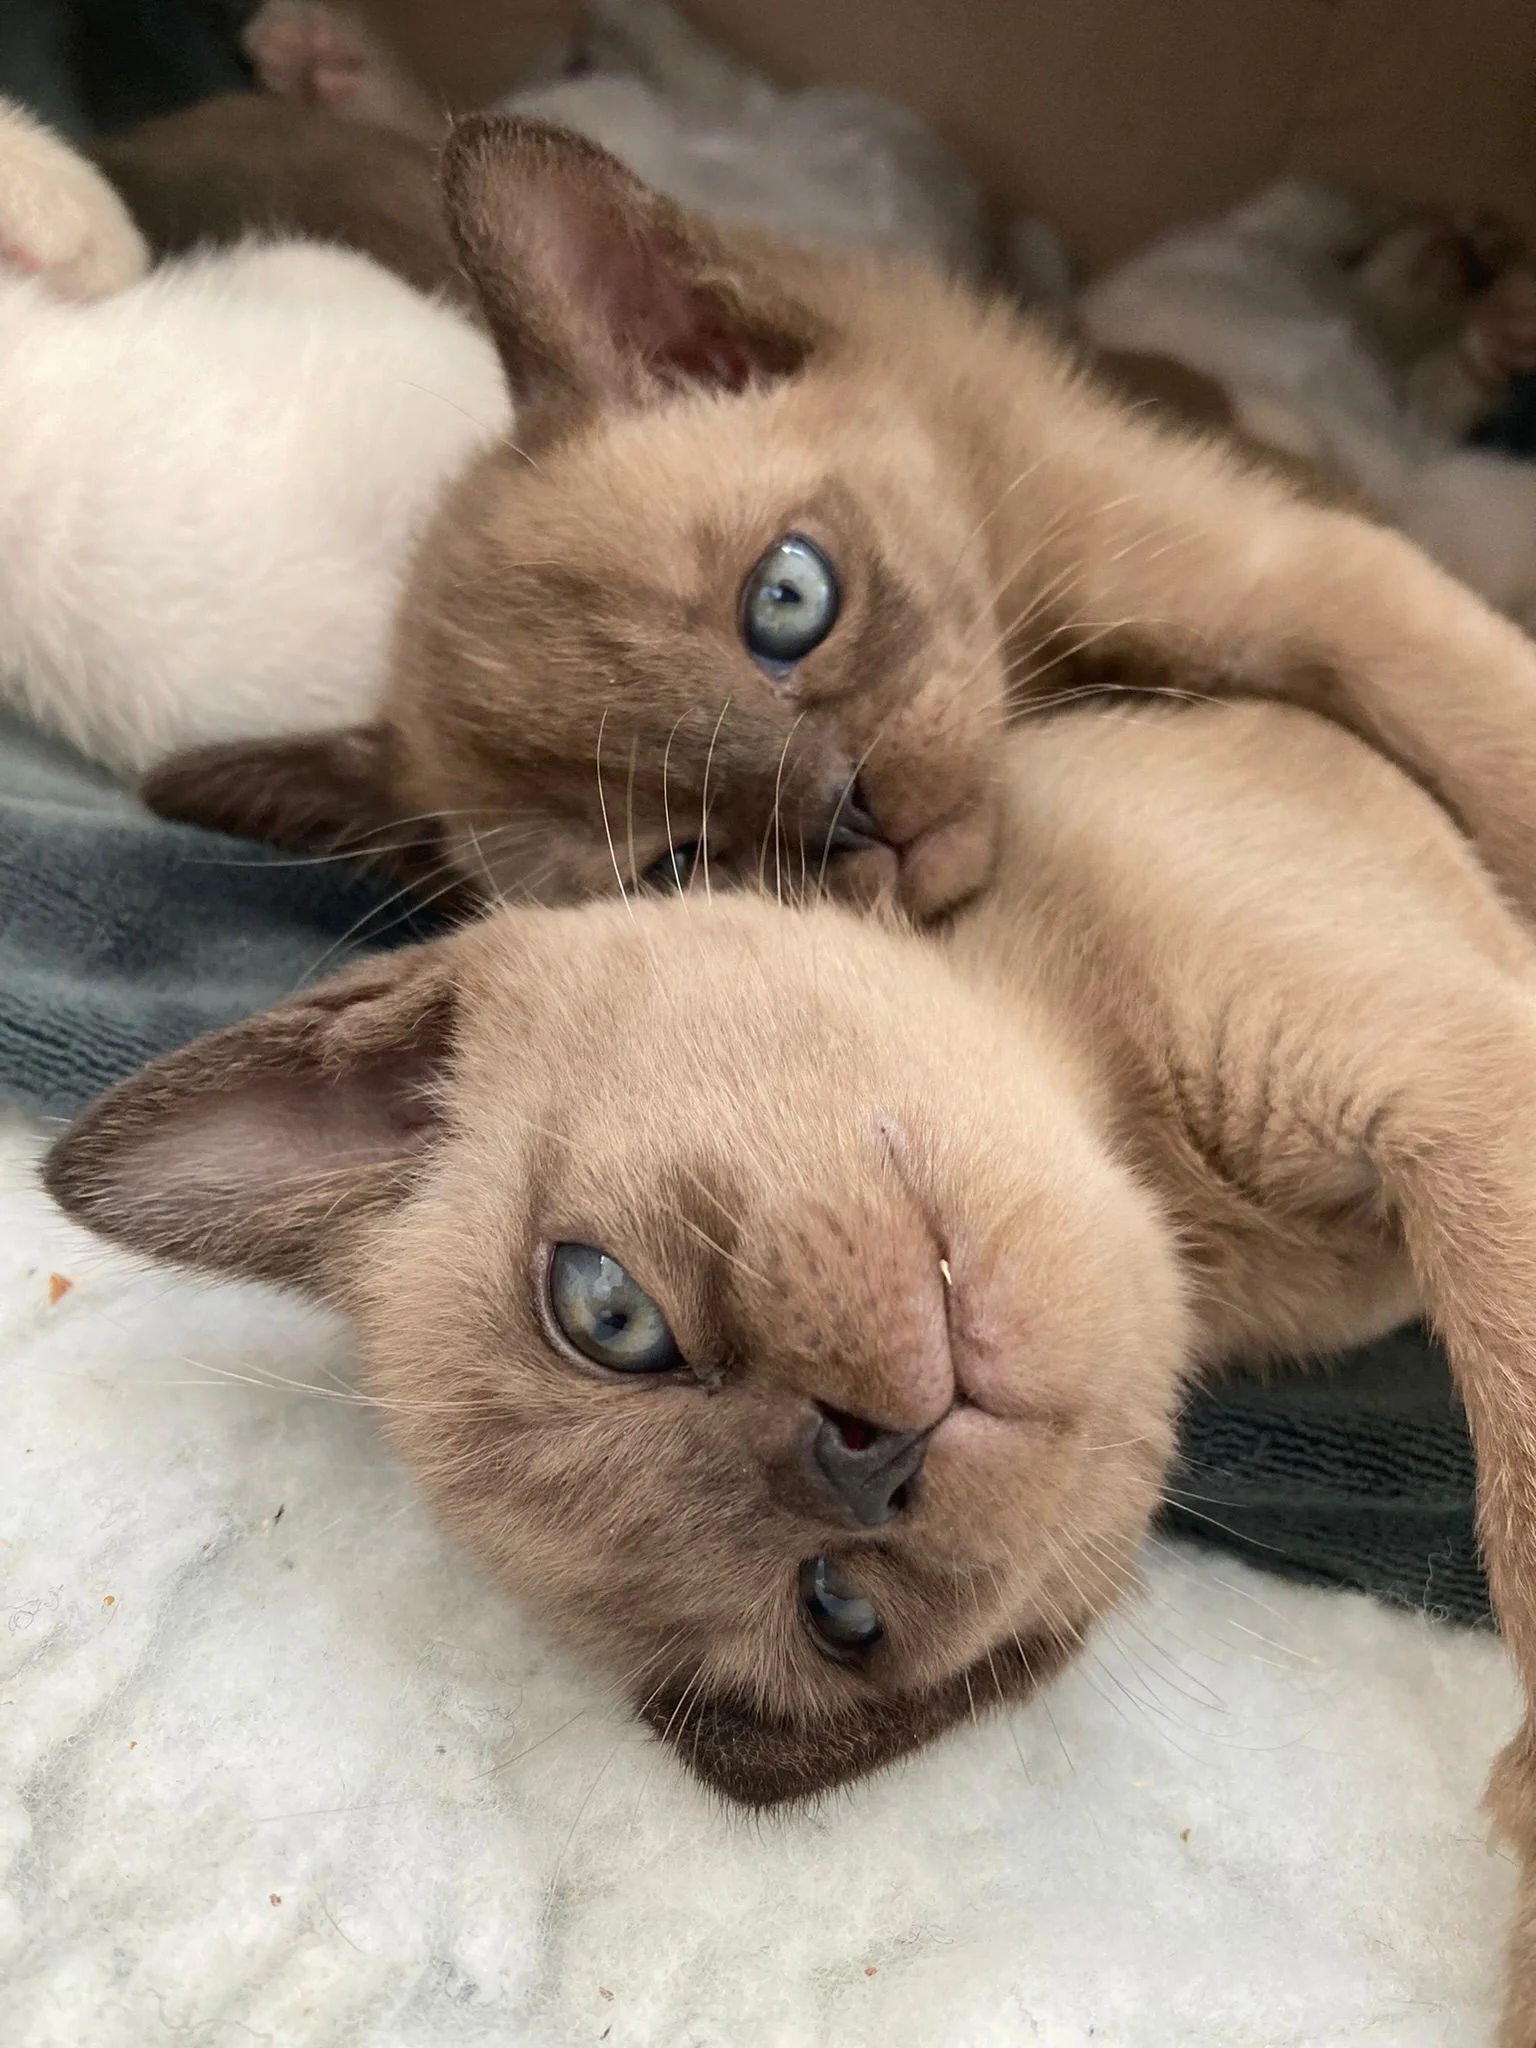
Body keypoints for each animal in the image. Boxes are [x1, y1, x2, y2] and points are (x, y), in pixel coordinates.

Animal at [54, 700, 1536, 2031]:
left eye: (606, 1312)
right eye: (838, 1609)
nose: (863, 1453)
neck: (1183, 1194)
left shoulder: (1444, 1097)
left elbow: (1512, 1431)